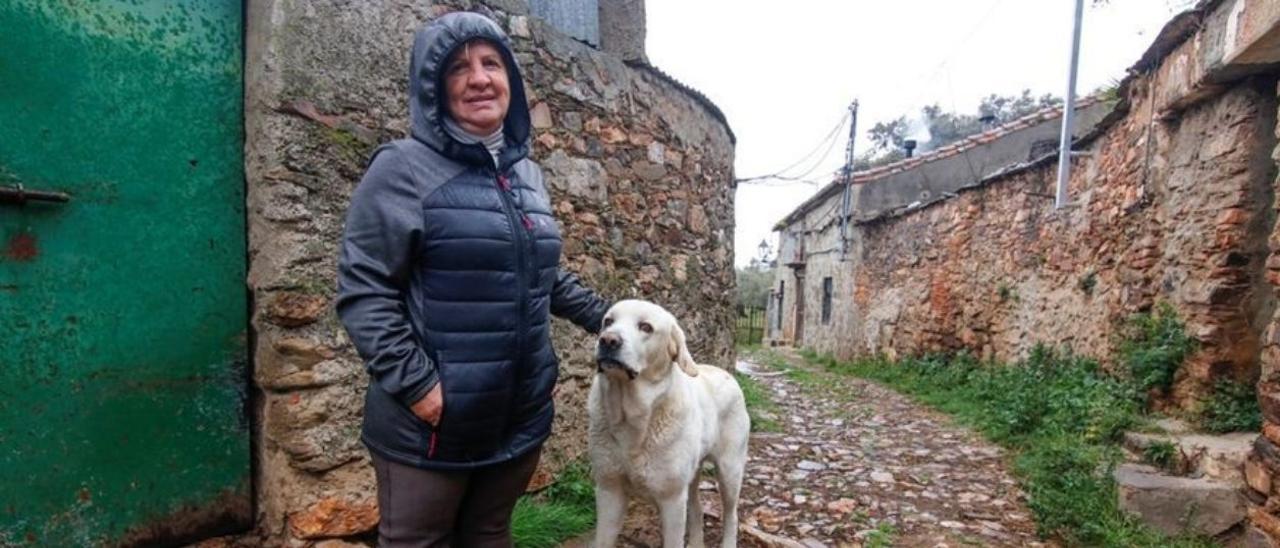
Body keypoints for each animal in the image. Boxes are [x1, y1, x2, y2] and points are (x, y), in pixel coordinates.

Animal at [588, 299, 747, 548]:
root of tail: (726, 373)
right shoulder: (609, 491)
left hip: (730, 471)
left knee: (731, 514)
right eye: (608, 321)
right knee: (696, 508)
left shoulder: (671, 499)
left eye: (645, 327)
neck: (632, 419)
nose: (608, 340)